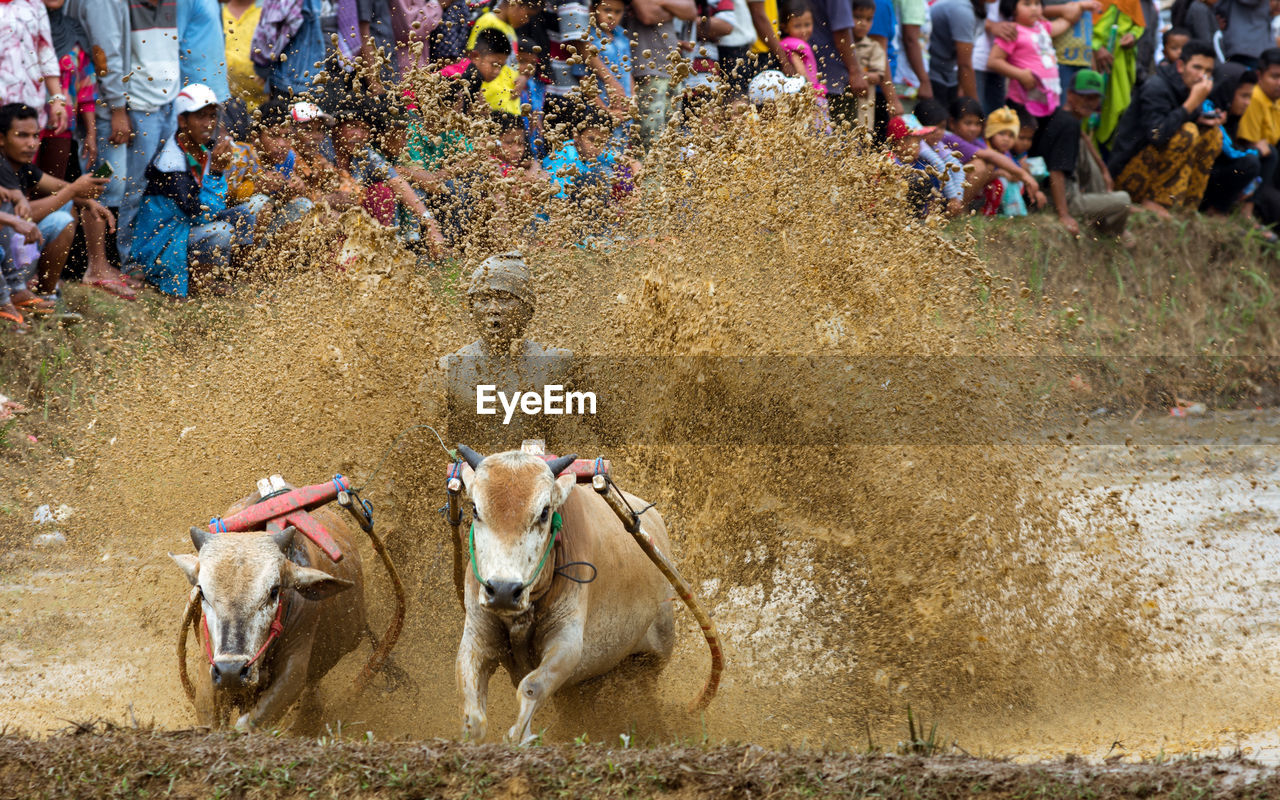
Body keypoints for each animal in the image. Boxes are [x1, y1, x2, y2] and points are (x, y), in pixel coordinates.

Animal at [453, 442, 721, 742]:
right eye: (475, 509)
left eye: (544, 512)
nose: (502, 590)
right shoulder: (477, 637)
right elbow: (473, 712)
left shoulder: (567, 644)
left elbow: (532, 687)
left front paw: (519, 736)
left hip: (652, 659)